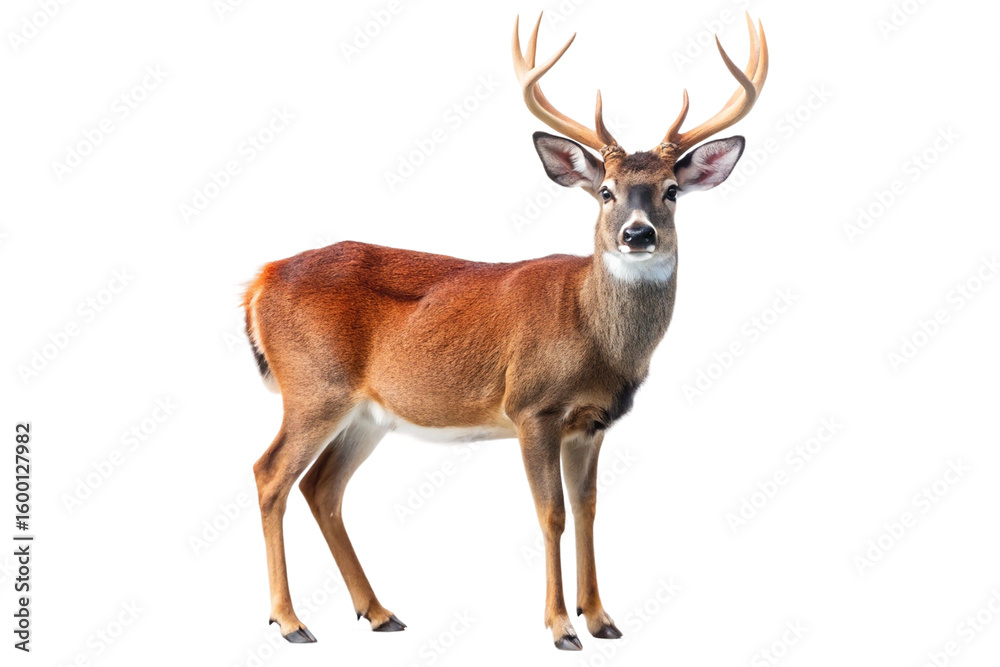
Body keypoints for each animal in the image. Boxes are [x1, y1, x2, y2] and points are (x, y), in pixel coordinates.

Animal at [243, 12, 768, 651]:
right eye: (606, 191)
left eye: (671, 191)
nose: (638, 234)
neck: (594, 333)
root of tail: (261, 280)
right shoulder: (532, 407)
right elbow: (552, 514)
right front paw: (561, 626)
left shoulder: (592, 423)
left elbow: (589, 510)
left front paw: (602, 619)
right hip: (314, 387)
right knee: (270, 474)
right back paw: (291, 620)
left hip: (366, 413)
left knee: (322, 488)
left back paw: (380, 612)